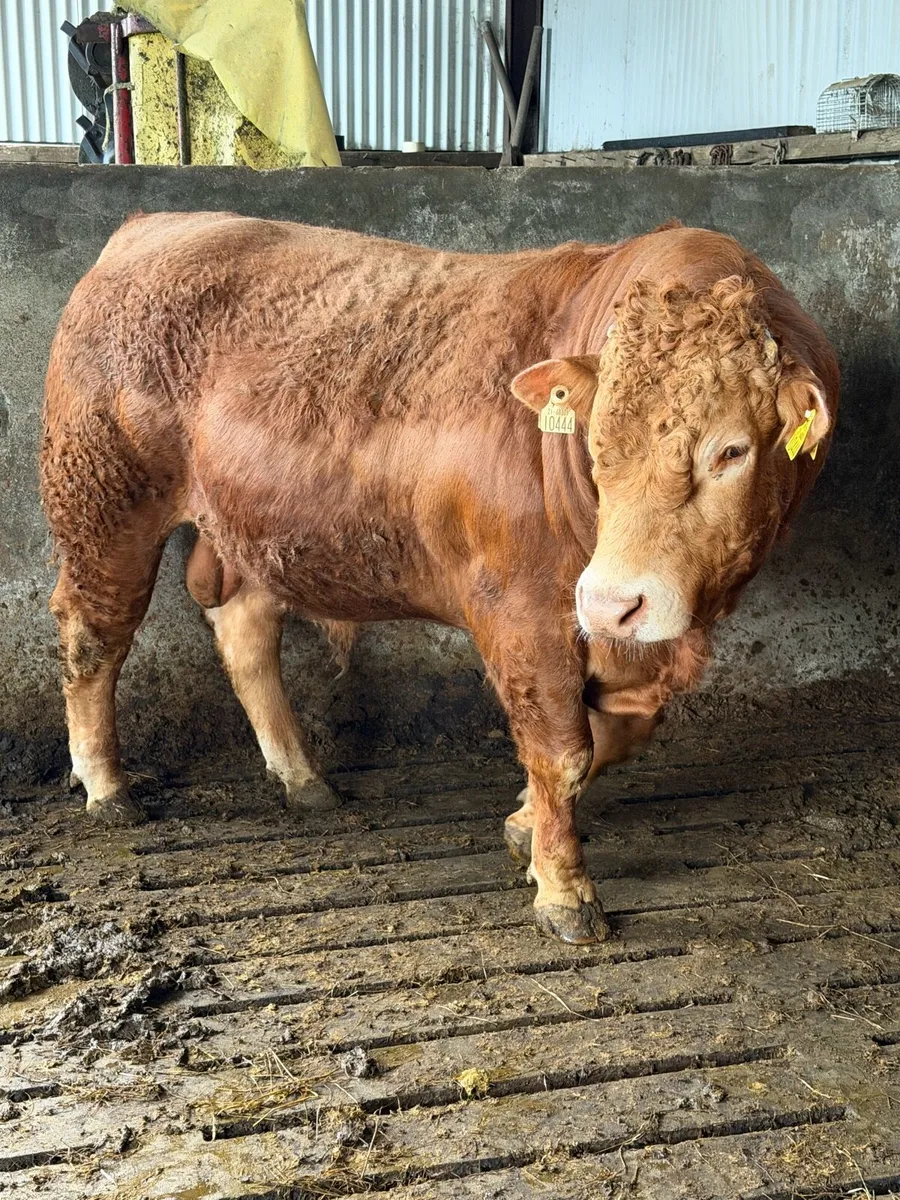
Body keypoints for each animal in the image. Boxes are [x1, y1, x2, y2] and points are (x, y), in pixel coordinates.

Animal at [41, 214, 838, 945]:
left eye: (732, 451)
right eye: (595, 439)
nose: (613, 602)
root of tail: (150, 226)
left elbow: (614, 735)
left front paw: (522, 825)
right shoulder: (522, 612)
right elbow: (561, 749)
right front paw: (564, 891)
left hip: (255, 529)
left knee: (245, 632)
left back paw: (302, 778)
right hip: (103, 505)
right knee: (93, 637)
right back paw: (106, 786)